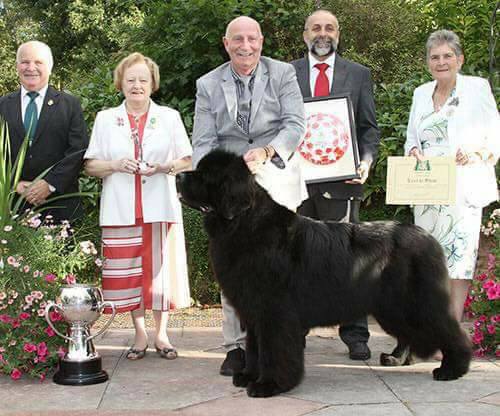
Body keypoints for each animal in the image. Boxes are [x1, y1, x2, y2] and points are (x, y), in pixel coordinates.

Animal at [177, 150, 472, 396]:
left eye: (205, 174)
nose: (178, 175)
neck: (243, 224)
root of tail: (427, 236)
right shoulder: (253, 310)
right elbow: (254, 347)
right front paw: (249, 376)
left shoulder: (274, 311)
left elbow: (273, 349)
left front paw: (269, 385)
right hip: (392, 307)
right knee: (410, 332)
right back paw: (397, 359)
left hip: (417, 303)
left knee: (449, 329)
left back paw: (452, 368)